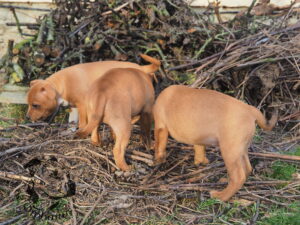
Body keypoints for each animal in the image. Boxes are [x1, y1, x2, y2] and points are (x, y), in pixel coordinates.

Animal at [27, 54, 161, 128]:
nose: (27, 117)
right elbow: (72, 122)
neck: (61, 85)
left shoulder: (82, 106)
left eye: (35, 105)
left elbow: (82, 123)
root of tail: (141, 68)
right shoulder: (74, 108)